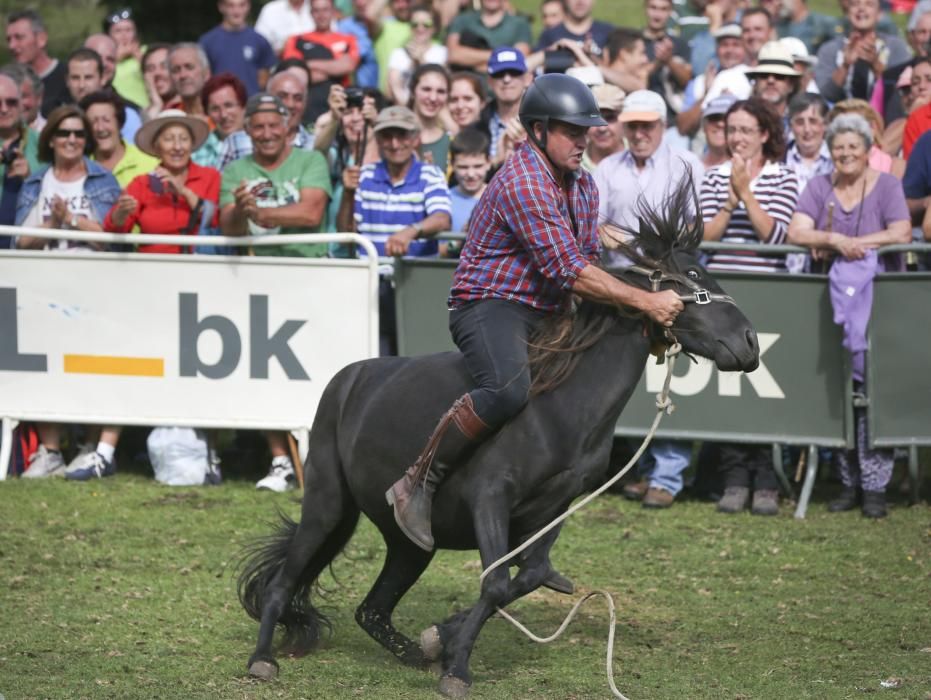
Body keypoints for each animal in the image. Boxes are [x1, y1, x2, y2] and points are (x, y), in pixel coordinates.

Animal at [237, 183, 760, 696]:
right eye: (692, 273)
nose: (751, 342)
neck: (562, 405)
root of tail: (348, 379)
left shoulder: (554, 508)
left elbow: (526, 577)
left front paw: (440, 639)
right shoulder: (490, 497)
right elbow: (496, 584)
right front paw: (456, 669)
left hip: (410, 544)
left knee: (373, 609)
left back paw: (411, 651)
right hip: (327, 504)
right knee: (284, 583)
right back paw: (263, 659)